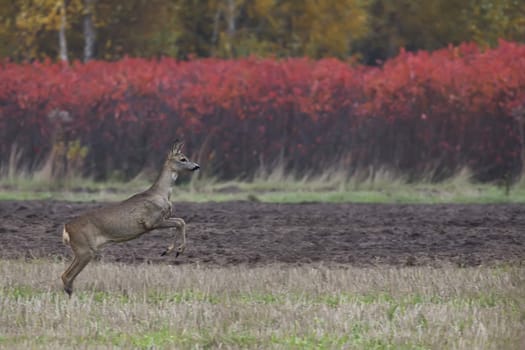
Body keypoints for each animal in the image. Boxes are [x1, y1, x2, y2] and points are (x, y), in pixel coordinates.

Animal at [60, 140, 200, 296]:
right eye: (183, 159)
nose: (197, 166)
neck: (161, 194)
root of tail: (66, 228)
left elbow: (180, 221)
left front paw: (170, 250)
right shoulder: (151, 221)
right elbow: (180, 222)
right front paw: (175, 250)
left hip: (82, 249)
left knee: (65, 275)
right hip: (84, 249)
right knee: (67, 275)